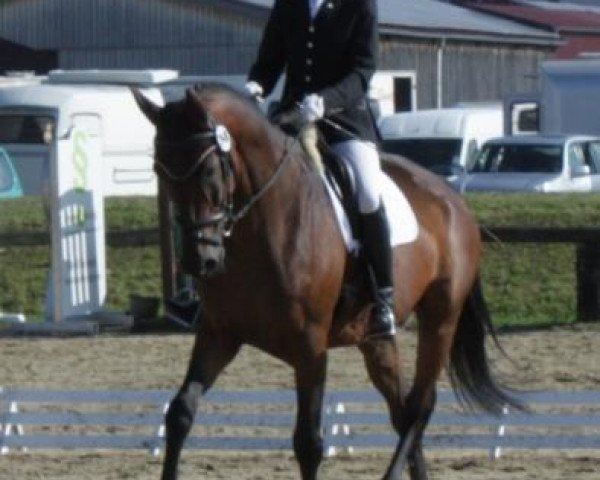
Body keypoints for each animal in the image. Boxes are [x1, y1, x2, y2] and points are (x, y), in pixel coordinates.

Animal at [134, 83, 524, 480]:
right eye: (158, 171)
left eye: (209, 169)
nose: (200, 260)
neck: (259, 228)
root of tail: (454, 200)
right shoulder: (219, 333)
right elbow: (180, 413)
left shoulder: (310, 347)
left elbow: (308, 442)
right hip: (375, 339)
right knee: (402, 411)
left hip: (441, 318)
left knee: (419, 406)